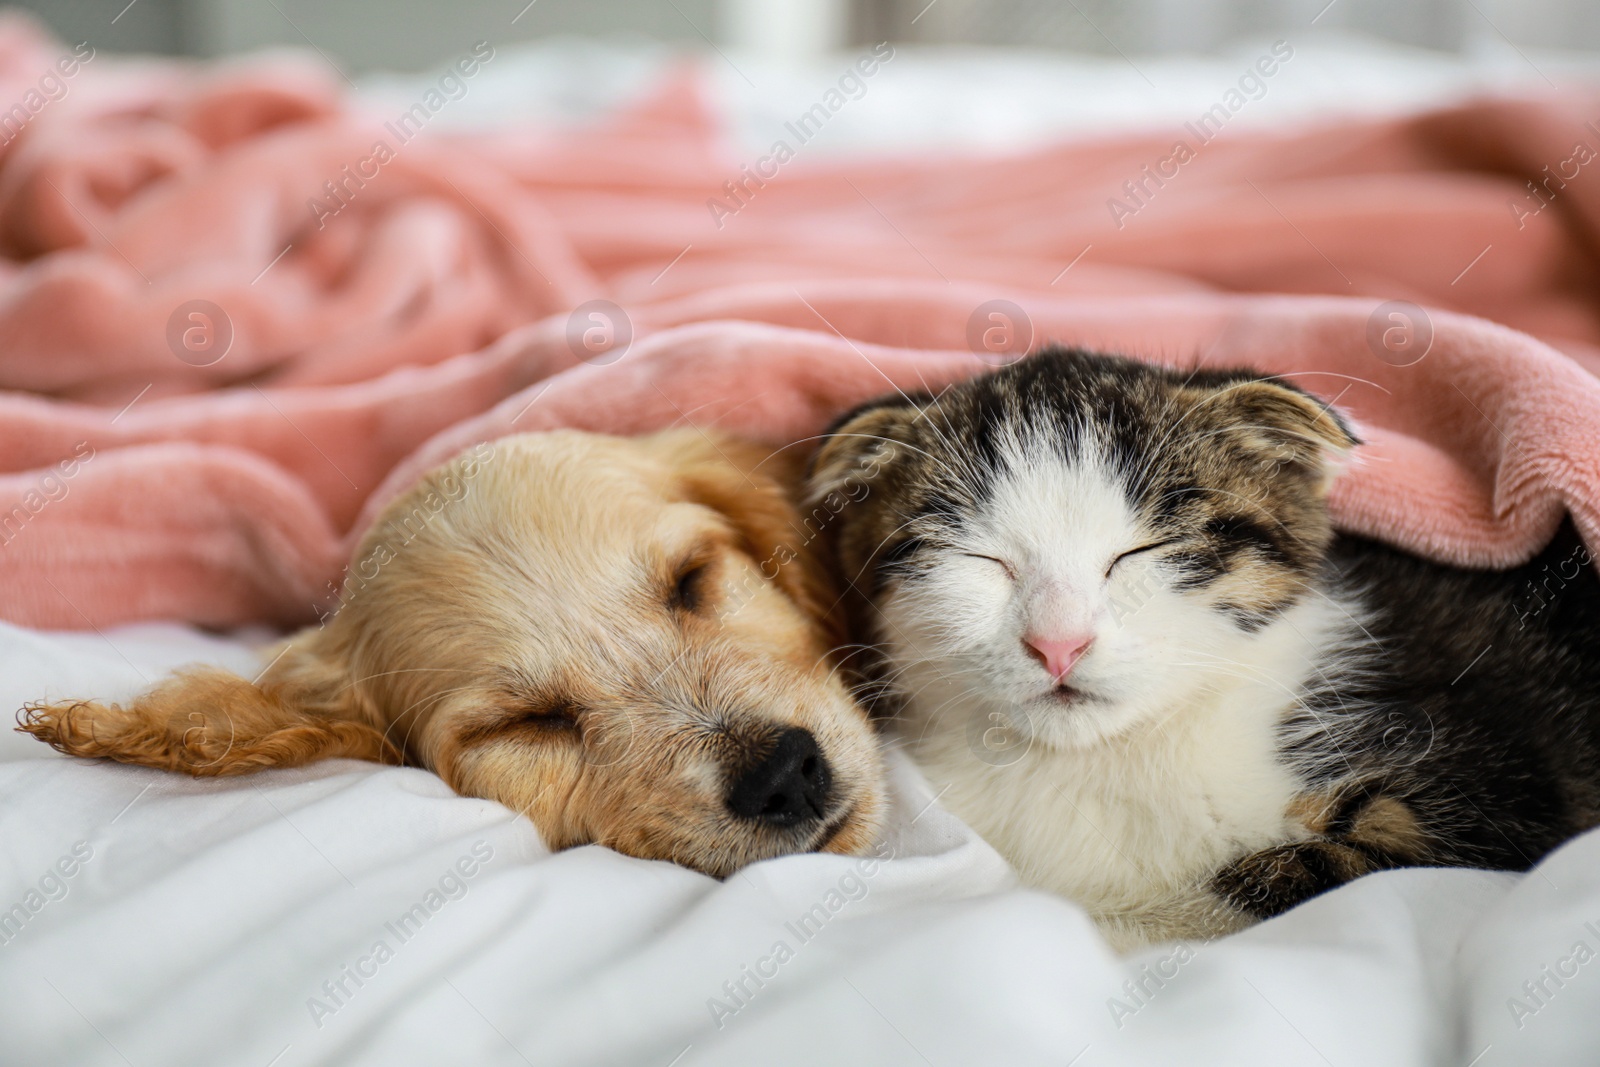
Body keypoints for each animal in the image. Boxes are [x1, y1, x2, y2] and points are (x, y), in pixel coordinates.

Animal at [806, 347, 1600, 947]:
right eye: (981, 560)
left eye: (1140, 552)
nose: (1059, 643)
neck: (1110, 759)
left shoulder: (1491, 791)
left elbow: (1282, 880)